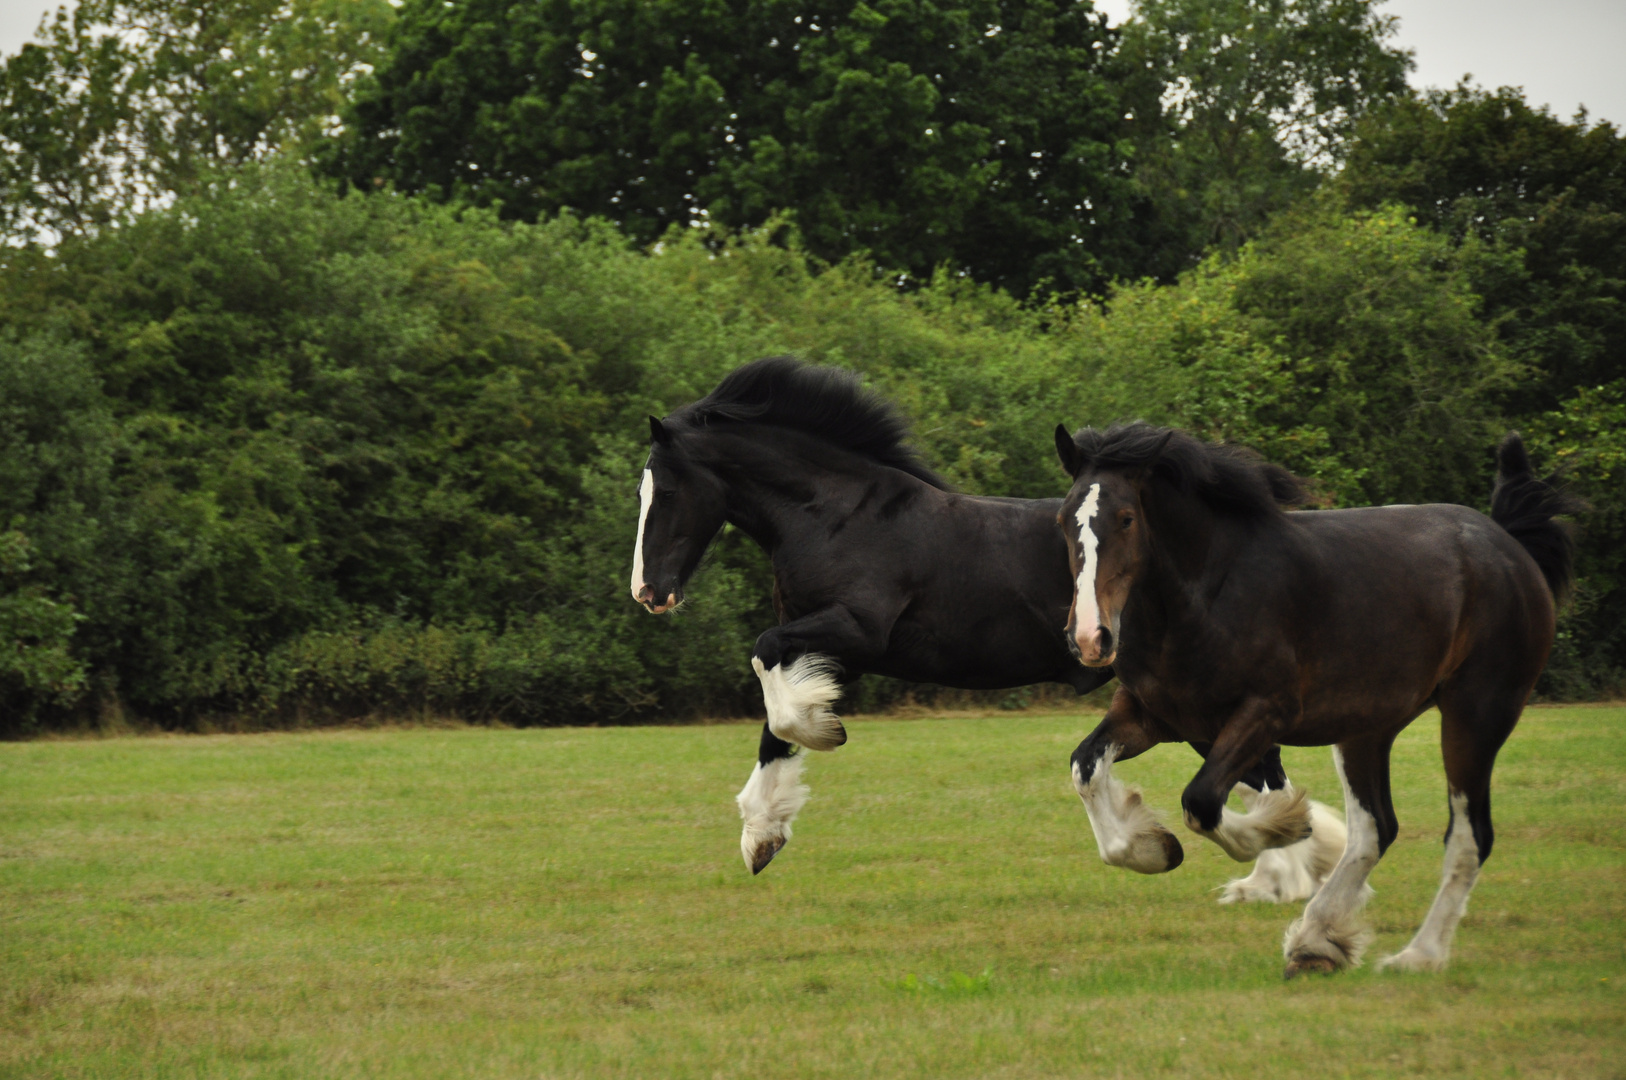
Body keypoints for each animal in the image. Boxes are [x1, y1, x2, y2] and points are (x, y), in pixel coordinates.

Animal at [627, 357, 1339, 891]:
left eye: (666, 491)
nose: (648, 592)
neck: (839, 515)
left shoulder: (857, 629)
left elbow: (769, 672)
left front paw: (822, 734)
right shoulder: (827, 643)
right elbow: (774, 720)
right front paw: (762, 834)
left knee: (1263, 771)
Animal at [1053, 422, 1573, 975]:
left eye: (1126, 519)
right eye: (1063, 520)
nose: (1090, 638)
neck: (1206, 595)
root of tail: (1509, 547)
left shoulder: (1266, 713)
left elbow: (1203, 800)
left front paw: (1285, 825)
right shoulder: (1155, 715)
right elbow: (1086, 770)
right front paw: (1154, 847)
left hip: (1476, 714)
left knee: (1469, 834)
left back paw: (1418, 955)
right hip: (1366, 728)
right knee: (1375, 830)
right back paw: (1317, 941)